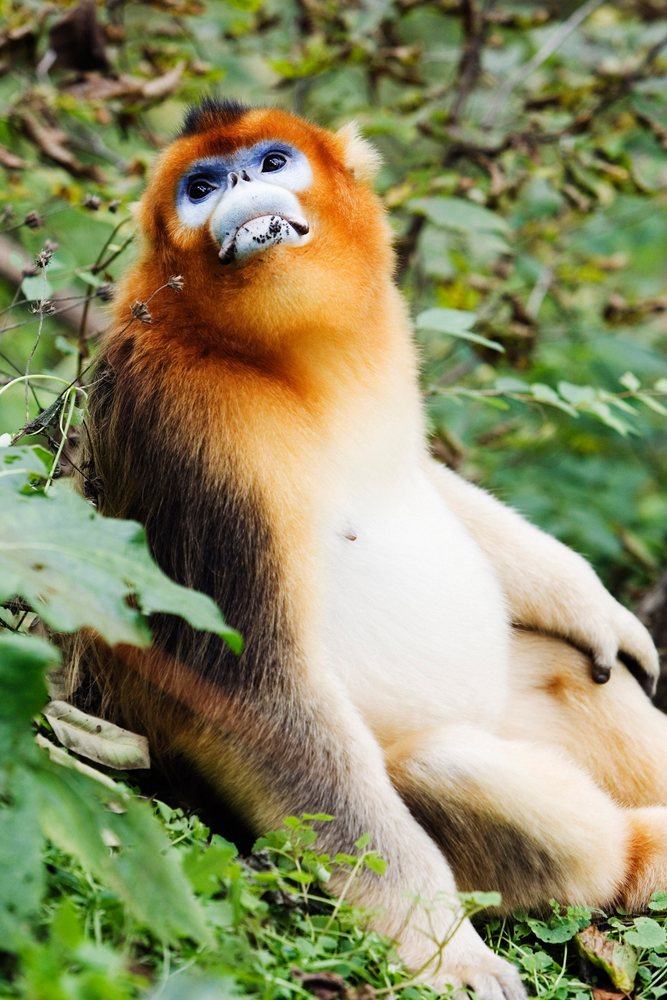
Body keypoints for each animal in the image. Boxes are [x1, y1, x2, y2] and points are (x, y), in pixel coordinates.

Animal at [68, 98, 667, 1000]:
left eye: (271, 162)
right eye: (200, 187)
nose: (239, 188)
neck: (281, 364)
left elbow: (425, 479)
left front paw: (592, 603)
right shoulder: (189, 429)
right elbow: (258, 701)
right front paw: (448, 953)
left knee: (574, 671)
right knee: (450, 771)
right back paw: (639, 856)